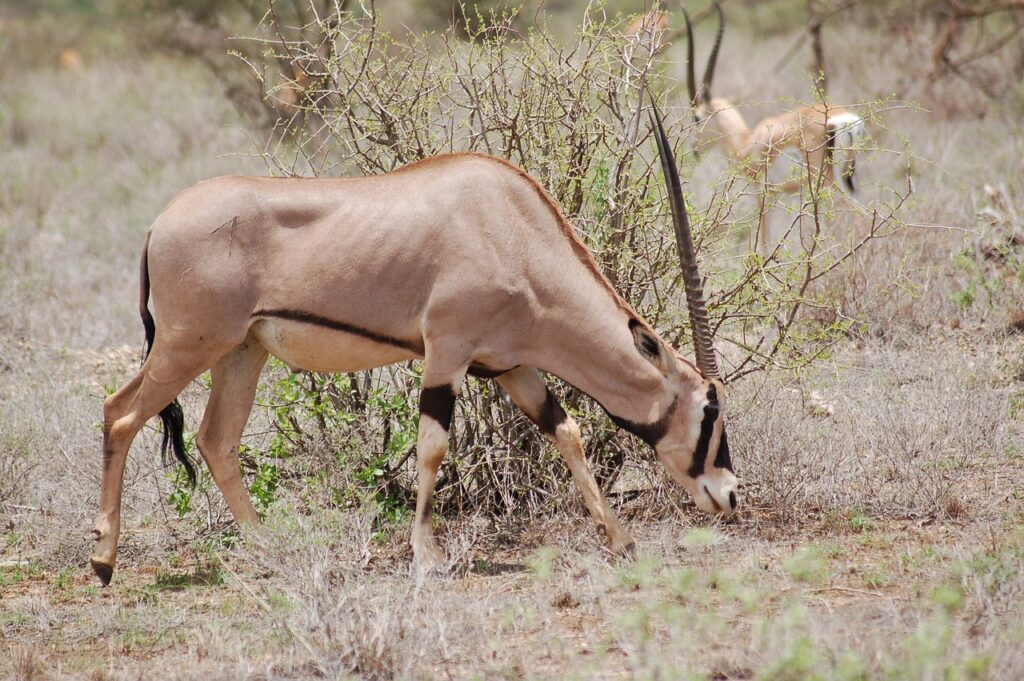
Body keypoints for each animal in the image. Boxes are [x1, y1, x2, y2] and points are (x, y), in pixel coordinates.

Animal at [88, 106, 733, 585]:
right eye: (710, 408)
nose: (728, 494)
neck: (515, 231)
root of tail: (161, 222)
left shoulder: (508, 365)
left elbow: (565, 429)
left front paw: (619, 538)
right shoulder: (447, 352)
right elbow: (432, 448)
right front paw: (426, 558)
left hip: (241, 351)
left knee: (215, 439)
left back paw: (267, 549)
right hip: (187, 346)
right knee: (120, 414)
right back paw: (103, 560)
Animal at [679, 0, 864, 241]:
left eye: (697, 118)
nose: (695, 149)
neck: (746, 143)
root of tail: (845, 118)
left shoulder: (761, 192)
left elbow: (763, 237)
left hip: (826, 179)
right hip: (845, 178)